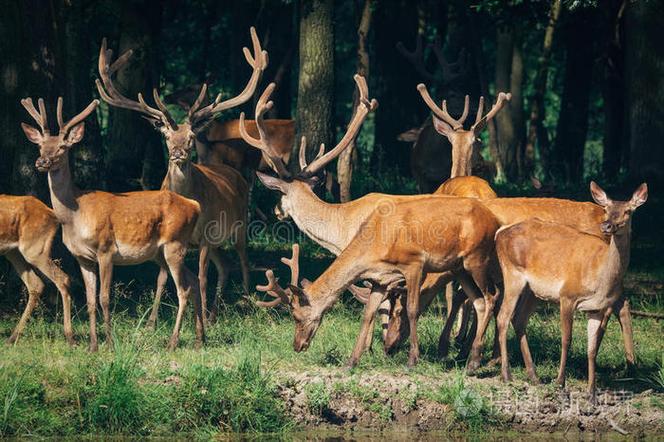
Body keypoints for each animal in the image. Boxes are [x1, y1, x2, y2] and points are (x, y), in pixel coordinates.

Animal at [0, 196, 73, 345]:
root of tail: (52, 214)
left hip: (34, 250)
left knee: (62, 278)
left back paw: (70, 337)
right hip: (14, 252)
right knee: (36, 284)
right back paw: (12, 337)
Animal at [20, 97, 204, 351]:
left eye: (62, 147)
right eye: (40, 145)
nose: (42, 161)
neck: (75, 216)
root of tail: (194, 205)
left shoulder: (105, 249)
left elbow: (104, 298)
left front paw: (108, 343)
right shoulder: (82, 257)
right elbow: (89, 300)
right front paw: (92, 345)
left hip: (175, 243)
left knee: (183, 289)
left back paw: (173, 342)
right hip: (160, 252)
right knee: (194, 280)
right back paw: (200, 339)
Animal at [96, 27, 267, 325]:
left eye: (190, 137)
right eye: (166, 136)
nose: (177, 153)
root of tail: (235, 174)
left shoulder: (206, 236)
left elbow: (201, 277)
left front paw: (199, 320)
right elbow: (162, 278)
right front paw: (152, 322)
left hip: (239, 225)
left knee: (243, 262)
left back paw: (244, 304)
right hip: (218, 241)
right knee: (225, 266)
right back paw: (215, 312)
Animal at [495, 182, 647, 401]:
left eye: (628, 211)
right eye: (606, 209)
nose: (607, 225)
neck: (600, 277)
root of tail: (500, 233)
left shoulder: (597, 308)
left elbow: (592, 348)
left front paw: (591, 392)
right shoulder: (567, 295)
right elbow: (566, 339)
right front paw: (560, 382)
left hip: (534, 291)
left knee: (519, 319)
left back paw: (534, 376)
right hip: (512, 273)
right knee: (503, 317)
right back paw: (507, 375)